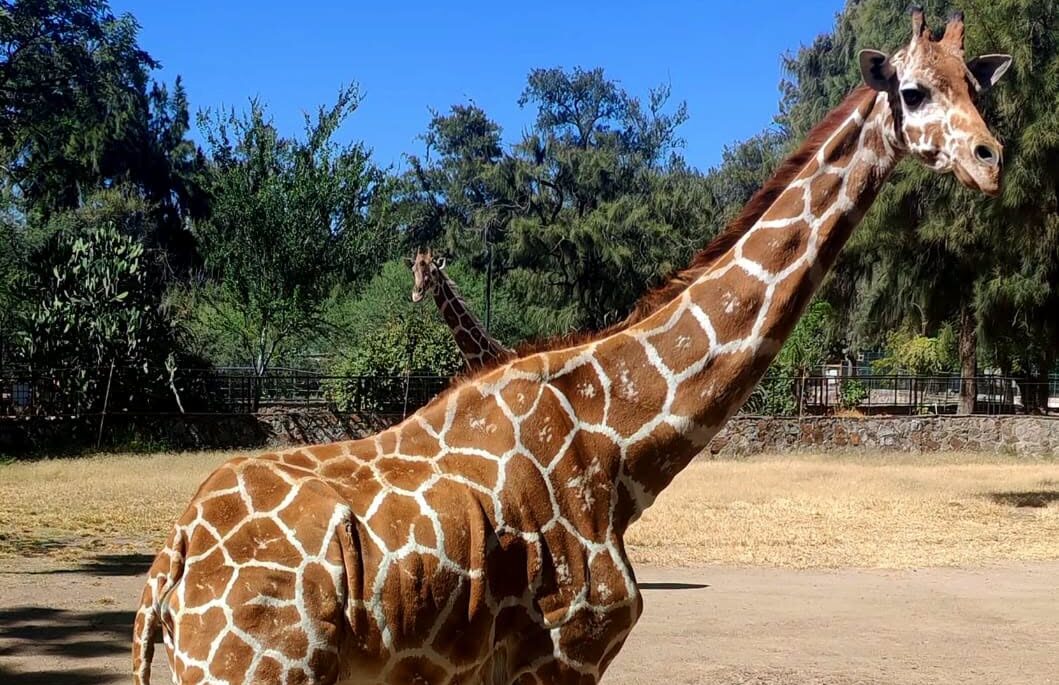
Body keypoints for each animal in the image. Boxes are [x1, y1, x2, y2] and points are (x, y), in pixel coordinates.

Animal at [134, 10, 1011, 684]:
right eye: (911, 91)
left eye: (979, 89)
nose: (989, 161)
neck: (619, 440)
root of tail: (170, 562)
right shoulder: (567, 646)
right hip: (255, 669)